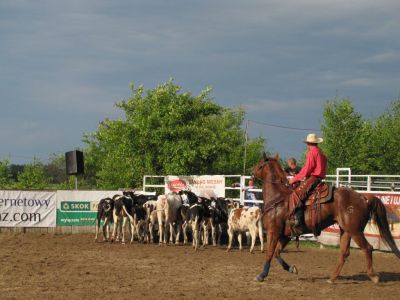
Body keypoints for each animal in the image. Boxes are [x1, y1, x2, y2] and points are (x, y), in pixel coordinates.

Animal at [253, 155, 400, 284]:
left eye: (259, 165)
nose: (251, 173)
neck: (277, 198)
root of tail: (363, 197)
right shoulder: (286, 235)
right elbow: (277, 253)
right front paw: (292, 269)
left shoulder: (274, 232)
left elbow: (270, 253)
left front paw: (261, 275)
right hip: (346, 230)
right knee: (344, 253)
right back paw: (332, 278)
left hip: (355, 231)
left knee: (368, 248)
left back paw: (373, 276)